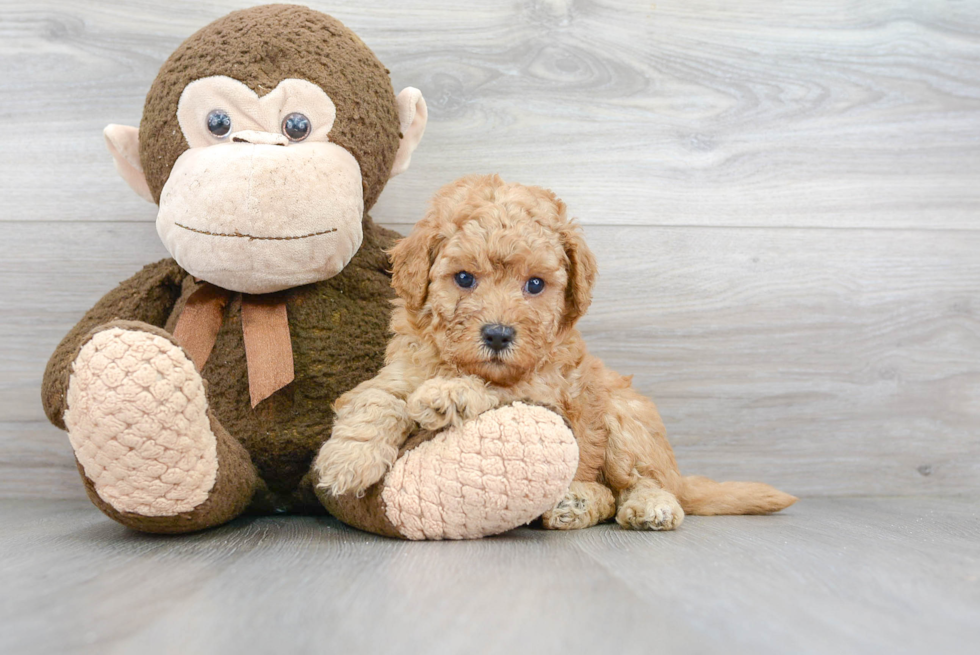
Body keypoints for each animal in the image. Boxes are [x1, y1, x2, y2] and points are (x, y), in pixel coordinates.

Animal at [318, 176, 800, 532]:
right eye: (464, 278)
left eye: (535, 284)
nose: (498, 335)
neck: (460, 361)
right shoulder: (400, 370)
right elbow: (375, 399)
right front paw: (346, 461)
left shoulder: (547, 393)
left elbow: (499, 391)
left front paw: (451, 394)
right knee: (607, 495)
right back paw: (573, 503)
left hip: (625, 419)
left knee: (637, 483)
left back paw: (645, 506)